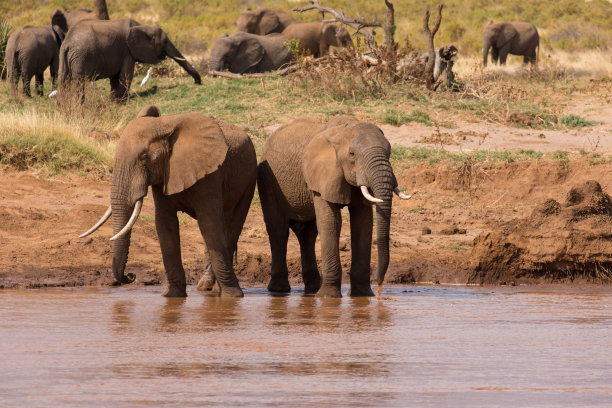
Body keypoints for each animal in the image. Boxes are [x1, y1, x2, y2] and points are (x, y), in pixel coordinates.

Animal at [58, 18, 201, 102]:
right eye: (165, 42)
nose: (197, 82)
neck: (143, 26)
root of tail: (68, 42)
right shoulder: (127, 50)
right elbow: (126, 74)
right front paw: (122, 101)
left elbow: (115, 77)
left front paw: (114, 100)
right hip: (81, 56)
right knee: (79, 81)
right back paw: (78, 106)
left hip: (64, 55)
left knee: (63, 79)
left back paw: (63, 109)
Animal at [258, 116, 412, 298]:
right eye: (352, 154)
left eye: (389, 153)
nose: (379, 284)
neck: (344, 130)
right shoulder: (322, 176)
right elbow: (331, 222)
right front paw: (328, 297)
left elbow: (363, 222)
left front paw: (362, 296)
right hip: (267, 178)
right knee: (278, 229)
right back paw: (280, 290)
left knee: (308, 234)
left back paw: (312, 290)